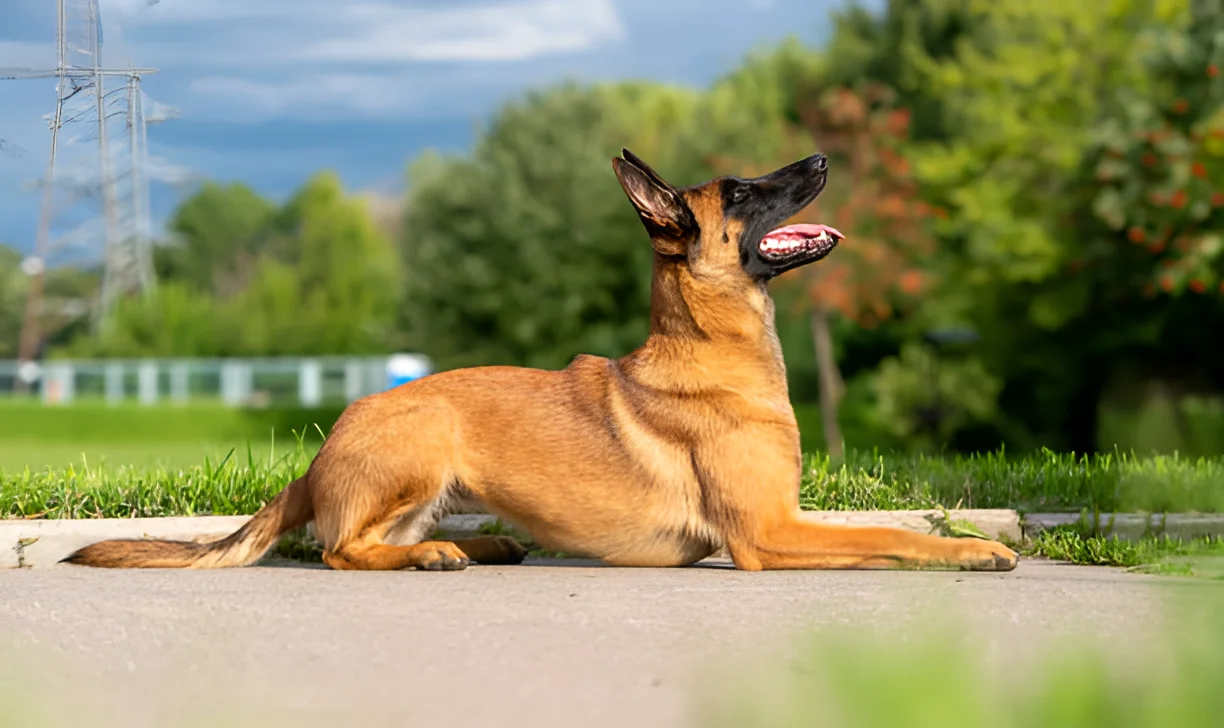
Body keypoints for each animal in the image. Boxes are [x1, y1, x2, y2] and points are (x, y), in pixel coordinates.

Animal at [69, 151, 1023, 572]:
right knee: (341, 549)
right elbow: (890, 535)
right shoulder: (768, 535)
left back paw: (483, 546)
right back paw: (435, 558)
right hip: (424, 435)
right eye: (743, 192)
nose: (822, 155)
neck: (709, 348)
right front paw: (975, 552)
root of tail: (319, 455)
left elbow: (892, 527)